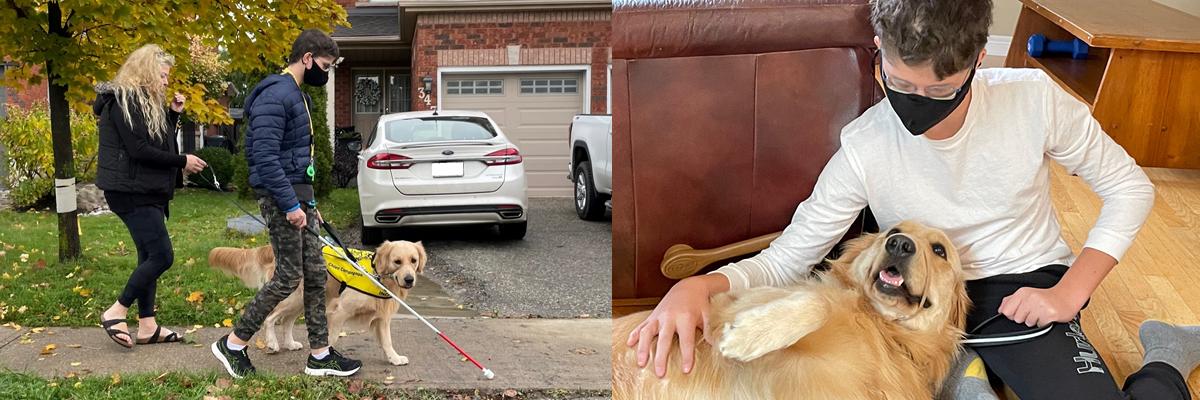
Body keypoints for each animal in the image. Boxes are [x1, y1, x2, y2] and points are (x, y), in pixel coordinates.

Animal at [210, 237, 427, 365]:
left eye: (413, 260)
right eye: (397, 261)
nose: (409, 279)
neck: (376, 275)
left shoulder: (382, 318)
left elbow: (387, 341)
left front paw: (394, 358)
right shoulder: (339, 311)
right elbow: (332, 337)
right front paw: (325, 361)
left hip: (301, 300)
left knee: (286, 322)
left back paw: (289, 343)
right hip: (293, 296)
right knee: (270, 318)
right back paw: (272, 343)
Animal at [614, 221, 969, 398]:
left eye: (940, 250)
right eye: (892, 231)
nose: (899, 243)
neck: (882, 328)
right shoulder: (730, 306)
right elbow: (818, 303)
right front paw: (745, 337)